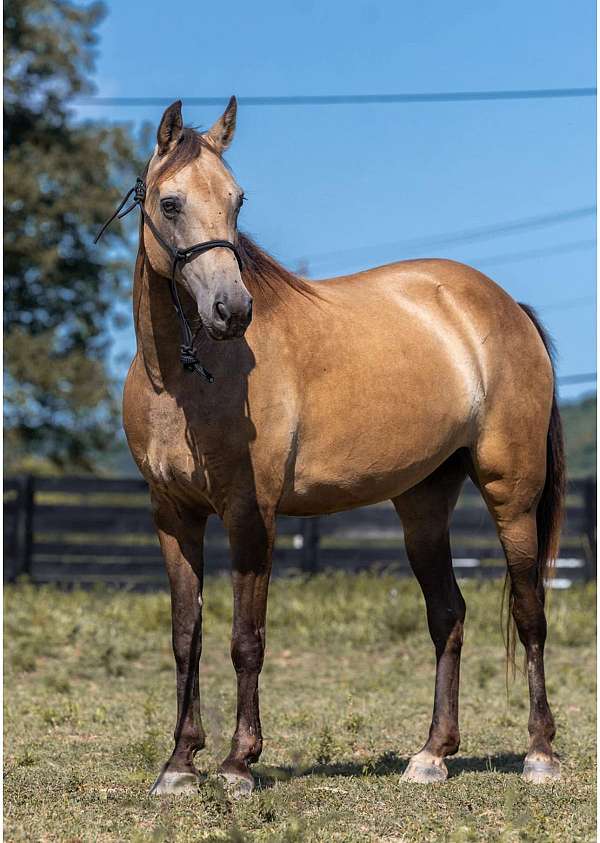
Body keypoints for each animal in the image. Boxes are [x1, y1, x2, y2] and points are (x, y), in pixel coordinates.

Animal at [98, 99, 564, 796]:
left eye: (237, 200)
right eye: (171, 202)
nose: (232, 310)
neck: (181, 378)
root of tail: (505, 305)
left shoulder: (250, 514)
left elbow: (246, 638)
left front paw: (238, 764)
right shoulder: (172, 516)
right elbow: (187, 635)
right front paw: (178, 765)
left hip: (512, 496)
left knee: (530, 610)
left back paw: (539, 754)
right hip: (423, 504)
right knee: (448, 615)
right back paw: (432, 754)